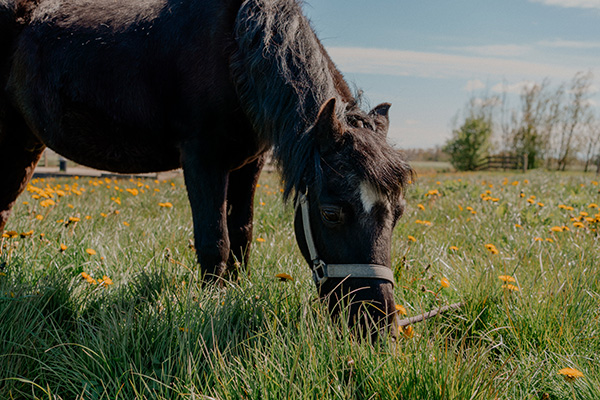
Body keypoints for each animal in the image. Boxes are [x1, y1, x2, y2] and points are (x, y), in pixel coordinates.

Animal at [0, 0, 412, 336]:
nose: (378, 323)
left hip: (24, 143)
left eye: (398, 214)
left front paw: (237, 291)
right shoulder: (202, 158)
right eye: (330, 213)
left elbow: (242, 233)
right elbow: (215, 240)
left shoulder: (249, 165)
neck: (234, 49)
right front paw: (212, 303)